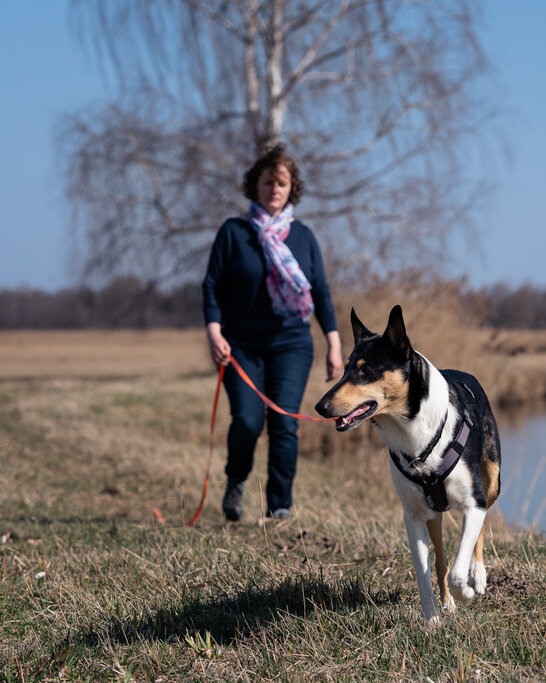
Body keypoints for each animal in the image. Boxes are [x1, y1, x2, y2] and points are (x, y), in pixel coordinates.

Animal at [312, 304, 500, 624]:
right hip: (434, 514)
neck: (413, 432)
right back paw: (448, 604)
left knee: (477, 531)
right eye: (345, 368)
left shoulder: (473, 502)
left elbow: (460, 565)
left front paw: (467, 590)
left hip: (492, 482)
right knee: (441, 560)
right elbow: (425, 573)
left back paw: (478, 576)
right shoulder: (413, 516)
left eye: (366, 370)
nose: (320, 407)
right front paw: (432, 622)